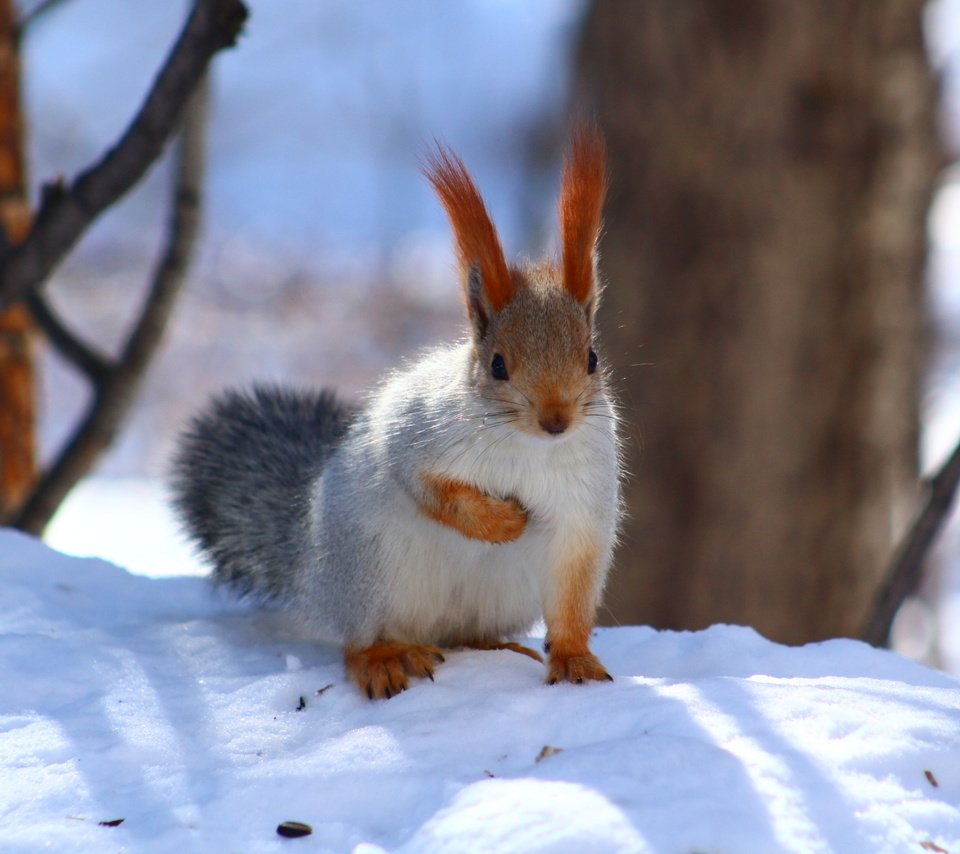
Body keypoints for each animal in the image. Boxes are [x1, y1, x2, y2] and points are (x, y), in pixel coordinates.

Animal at [172, 129, 624, 704]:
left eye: (592, 358)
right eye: (498, 365)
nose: (556, 420)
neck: (529, 449)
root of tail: (314, 573)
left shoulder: (584, 511)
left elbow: (572, 595)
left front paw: (574, 658)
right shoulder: (417, 435)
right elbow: (429, 488)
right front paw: (502, 522)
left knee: (465, 634)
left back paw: (496, 645)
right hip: (369, 571)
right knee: (358, 643)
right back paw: (383, 659)